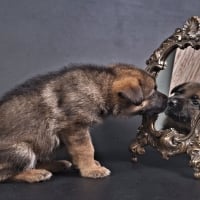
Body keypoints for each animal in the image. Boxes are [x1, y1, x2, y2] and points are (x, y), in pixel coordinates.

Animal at [0, 63, 167, 182]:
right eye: (153, 91)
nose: (169, 100)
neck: (101, 87)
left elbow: (80, 151)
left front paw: (87, 165)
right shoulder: (76, 127)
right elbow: (86, 149)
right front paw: (91, 170)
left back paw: (56, 165)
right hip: (23, 150)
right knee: (7, 174)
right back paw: (35, 174)